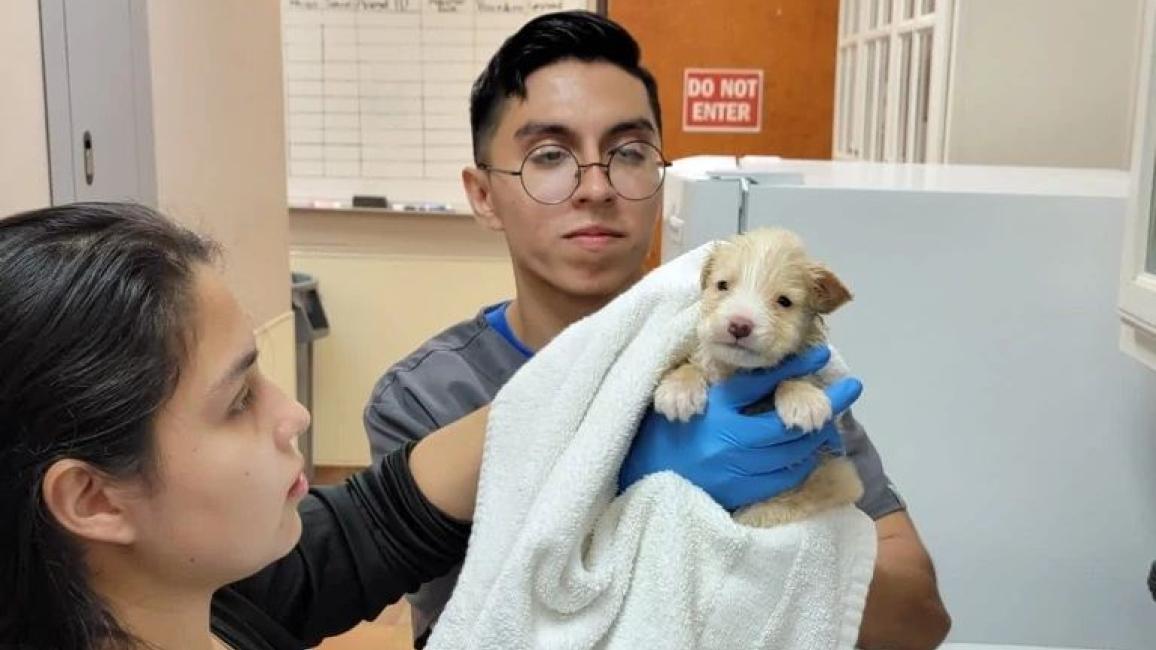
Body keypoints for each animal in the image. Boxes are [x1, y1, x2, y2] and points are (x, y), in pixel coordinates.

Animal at [656, 227, 864, 527]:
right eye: (722, 285)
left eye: (784, 301)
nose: (739, 325)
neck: (740, 371)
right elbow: (691, 363)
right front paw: (678, 391)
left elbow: (796, 375)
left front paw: (803, 399)